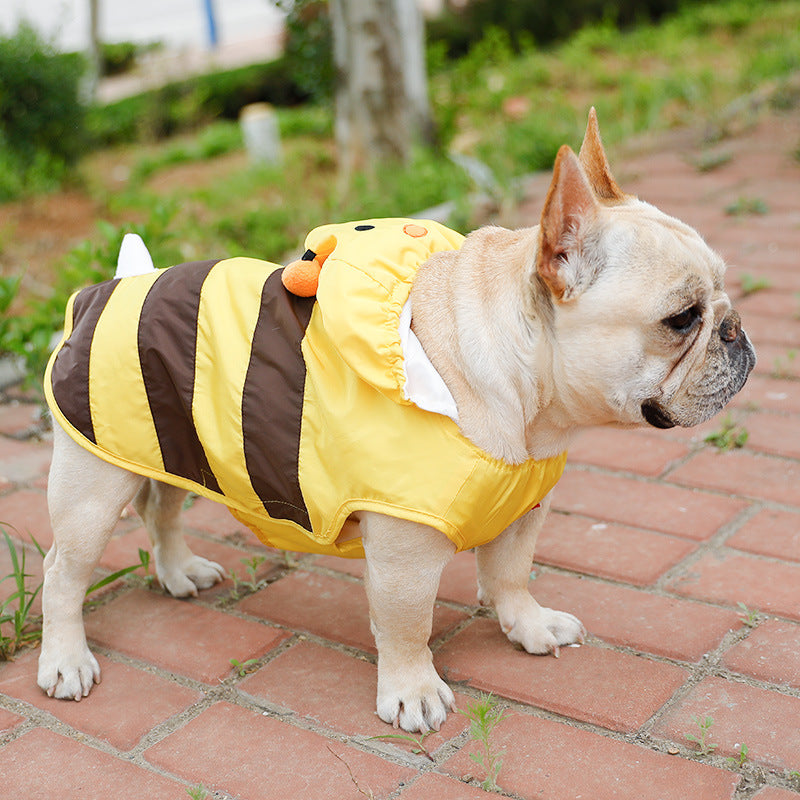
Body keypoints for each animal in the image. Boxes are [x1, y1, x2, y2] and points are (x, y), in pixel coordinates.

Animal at [37, 111, 756, 732]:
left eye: (720, 295)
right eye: (682, 319)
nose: (737, 332)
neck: (522, 403)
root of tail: (114, 285)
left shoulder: (525, 510)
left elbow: (512, 574)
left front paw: (526, 626)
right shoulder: (405, 550)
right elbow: (408, 623)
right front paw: (412, 692)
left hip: (168, 445)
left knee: (161, 509)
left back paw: (178, 571)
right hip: (92, 490)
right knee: (62, 571)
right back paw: (66, 658)